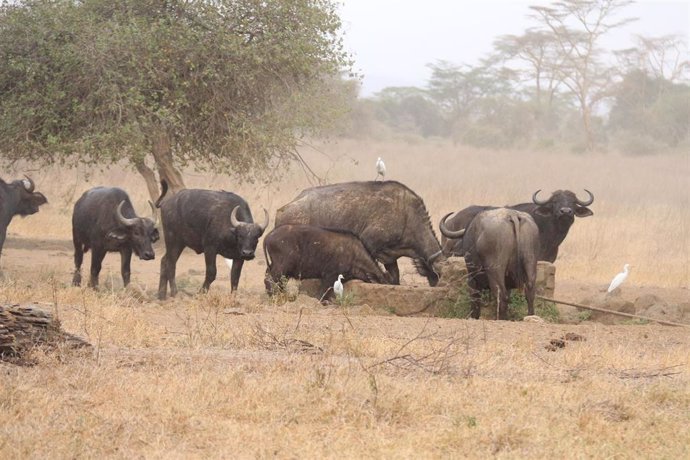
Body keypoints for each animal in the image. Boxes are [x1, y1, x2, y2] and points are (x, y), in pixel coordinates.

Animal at [264, 225, 392, 296]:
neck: (354, 253)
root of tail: (269, 236)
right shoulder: (329, 276)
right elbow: (323, 292)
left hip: (275, 266)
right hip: (281, 267)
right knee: (270, 279)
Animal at [274, 179, 446, 284]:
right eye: (442, 276)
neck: (407, 215)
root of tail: (283, 209)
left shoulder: (390, 257)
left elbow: (394, 279)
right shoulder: (369, 243)